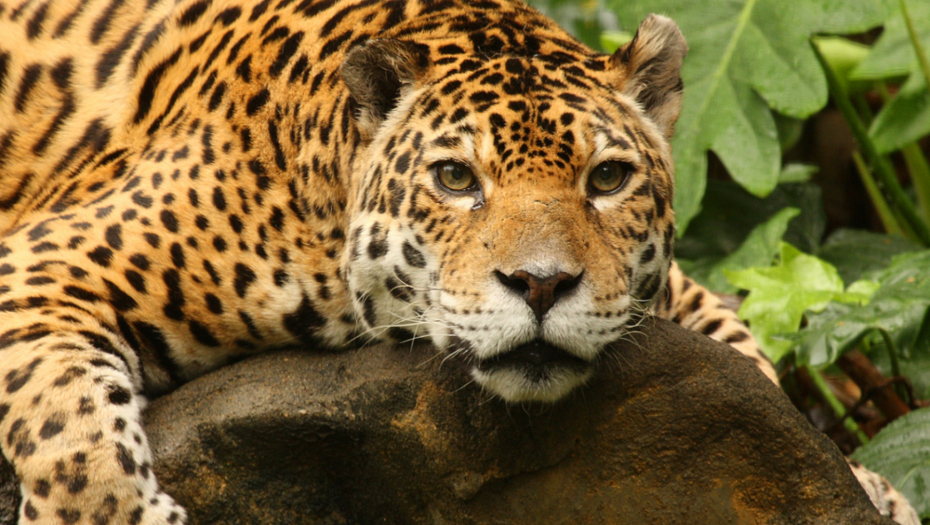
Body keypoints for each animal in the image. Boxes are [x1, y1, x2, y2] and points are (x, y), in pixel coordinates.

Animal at [0, 0, 919, 523]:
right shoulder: (40, 260)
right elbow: (70, 434)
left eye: (608, 178)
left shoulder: (680, 289)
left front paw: (868, 487)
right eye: (454, 178)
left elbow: (754, 365)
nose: (542, 284)